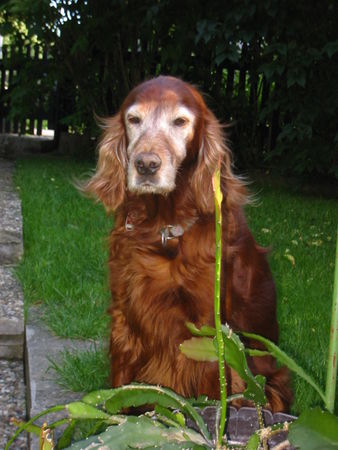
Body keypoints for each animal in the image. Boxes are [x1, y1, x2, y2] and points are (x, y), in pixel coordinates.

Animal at [85, 76, 294, 412]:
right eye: (134, 119)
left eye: (180, 121)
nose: (146, 164)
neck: (162, 229)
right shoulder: (124, 321)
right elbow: (119, 391)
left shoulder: (208, 331)